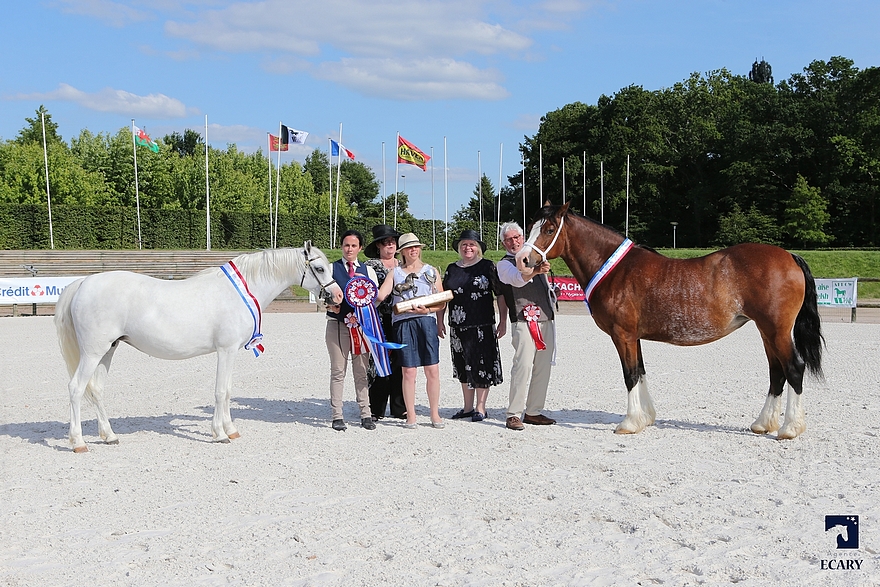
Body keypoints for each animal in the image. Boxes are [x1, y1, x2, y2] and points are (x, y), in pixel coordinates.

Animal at [54, 243, 344, 454]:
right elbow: (220, 392)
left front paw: (231, 429)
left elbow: (228, 391)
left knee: (96, 390)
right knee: (76, 389)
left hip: (108, 350)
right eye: (319, 268)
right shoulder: (226, 350)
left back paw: (109, 436)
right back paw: (78, 442)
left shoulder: (231, 352)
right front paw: (220, 434)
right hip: (93, 352)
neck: (239, 291)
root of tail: (83, 283)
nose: (339, 296)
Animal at [516, 204, 824, 438]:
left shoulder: (622, 335)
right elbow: (640, 372)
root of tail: (790, 257)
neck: (615, 270)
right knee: (777, 372)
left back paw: (789, 428)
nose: (522, 259)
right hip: (766, 332)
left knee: (793, 369)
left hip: (777, 330)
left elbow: (630, 375)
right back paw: (763, 423)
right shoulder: (634, 336)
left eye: (548, 229)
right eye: (530, 227)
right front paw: (646, 418)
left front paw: (629, 423)